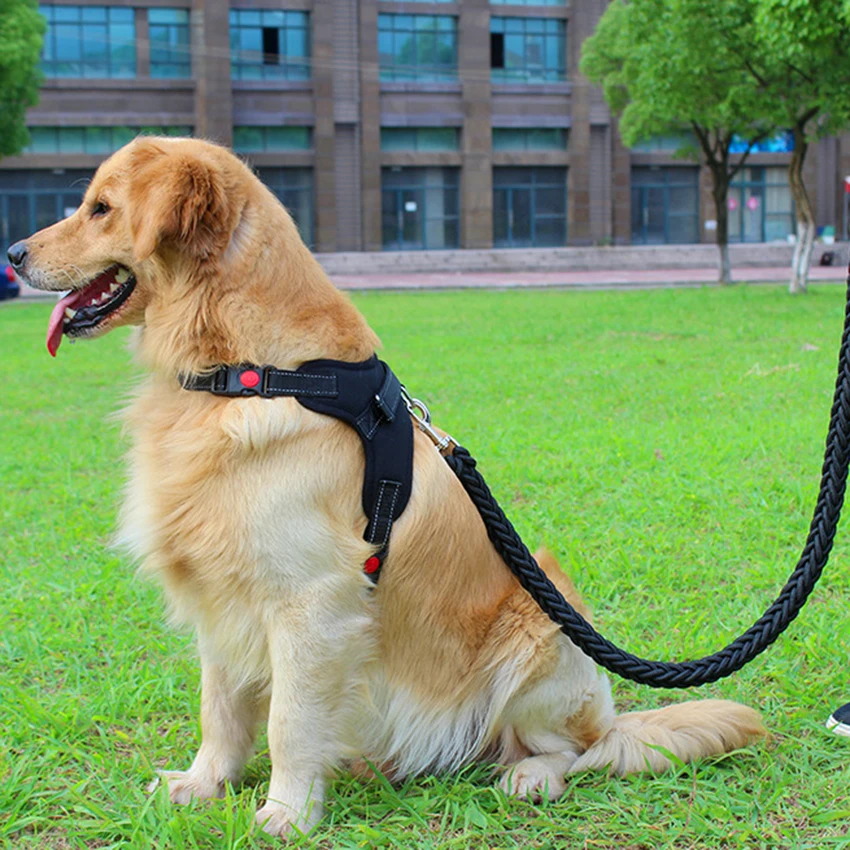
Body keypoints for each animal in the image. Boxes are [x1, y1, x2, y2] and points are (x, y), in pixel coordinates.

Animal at [13, 137, 764, 836]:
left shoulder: (312, 601)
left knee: (577, 751)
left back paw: (528, 777)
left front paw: (287, 812)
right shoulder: (221, 595)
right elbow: (219, 707)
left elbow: (289, 721)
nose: (15, 253)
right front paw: (204, 784)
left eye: (100, 208)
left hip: (541, 637)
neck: (248, 372)